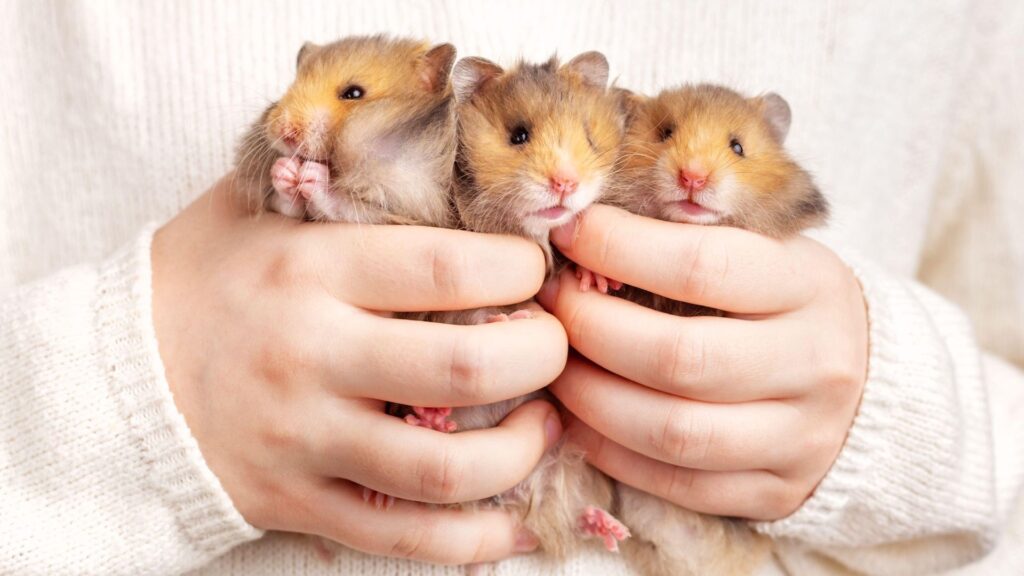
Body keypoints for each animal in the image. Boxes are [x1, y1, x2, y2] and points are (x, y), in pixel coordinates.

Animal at [234, 35, 457, 227]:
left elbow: (343, 206)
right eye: (290, 87)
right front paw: (284, 169)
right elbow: (287, 206)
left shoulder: (411, 207)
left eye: (354, 93)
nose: (284, 132)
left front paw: (310, 174)